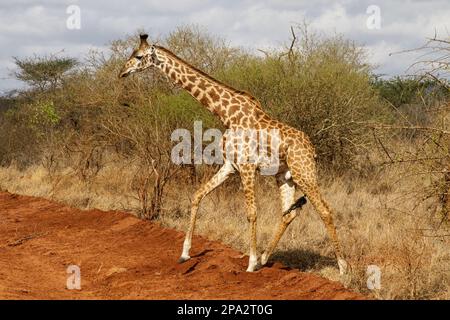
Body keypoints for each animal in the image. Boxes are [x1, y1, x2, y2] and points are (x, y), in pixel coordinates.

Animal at [118, 35, 348, 276]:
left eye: (139, 56)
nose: (122, 72)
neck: (227, 115)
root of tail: (312, 149)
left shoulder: (247, 167)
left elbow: (252, 212)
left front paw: (250, 263)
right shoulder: (230, 166)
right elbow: (197, 195)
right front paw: (185, 253)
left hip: (304, 172)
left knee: (325, 210)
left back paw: (342, 267)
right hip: (285, 176)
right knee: (289, 213)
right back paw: (265, 258)